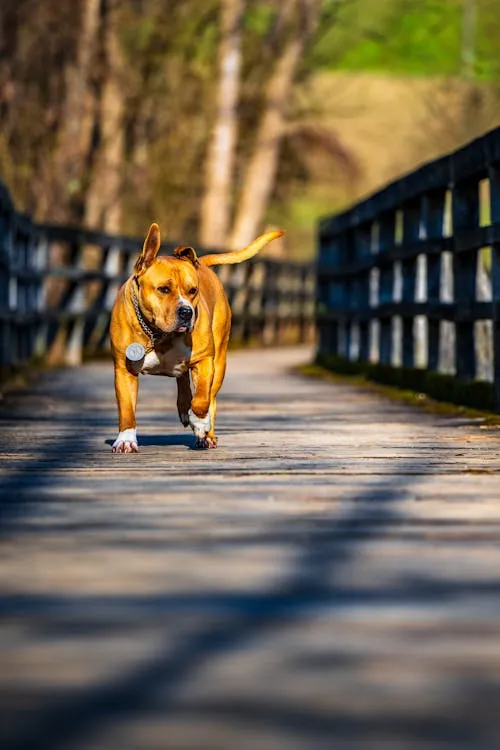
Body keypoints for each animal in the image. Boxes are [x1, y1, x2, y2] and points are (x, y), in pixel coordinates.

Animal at [110, 225, 286, 452]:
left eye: (193, 290)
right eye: (163, 289)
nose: (187, 312)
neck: (158, 334)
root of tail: (201, 262)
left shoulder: (204, 361)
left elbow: (202, 398)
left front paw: (200, 423)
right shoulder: (124, 370)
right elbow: (126, 409)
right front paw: (126, 440)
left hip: (219, 362)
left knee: (210, 397)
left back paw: (205, 433)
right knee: (183, 380)